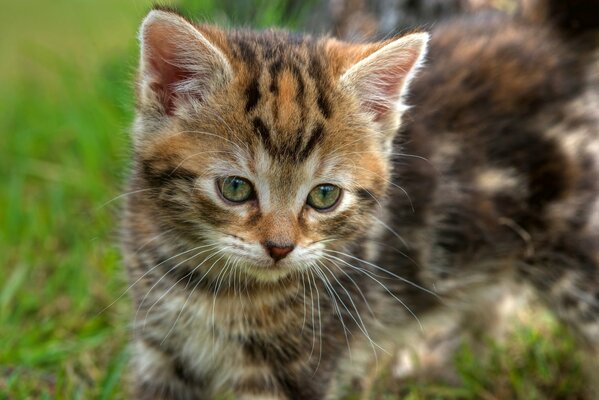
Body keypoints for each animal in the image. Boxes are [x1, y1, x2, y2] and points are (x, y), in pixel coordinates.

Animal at [123, 3, 599, 400]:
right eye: (235, 188)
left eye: (324, 195)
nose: (280, 248)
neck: (210, 286)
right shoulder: (160, 351)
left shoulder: (297, 366)